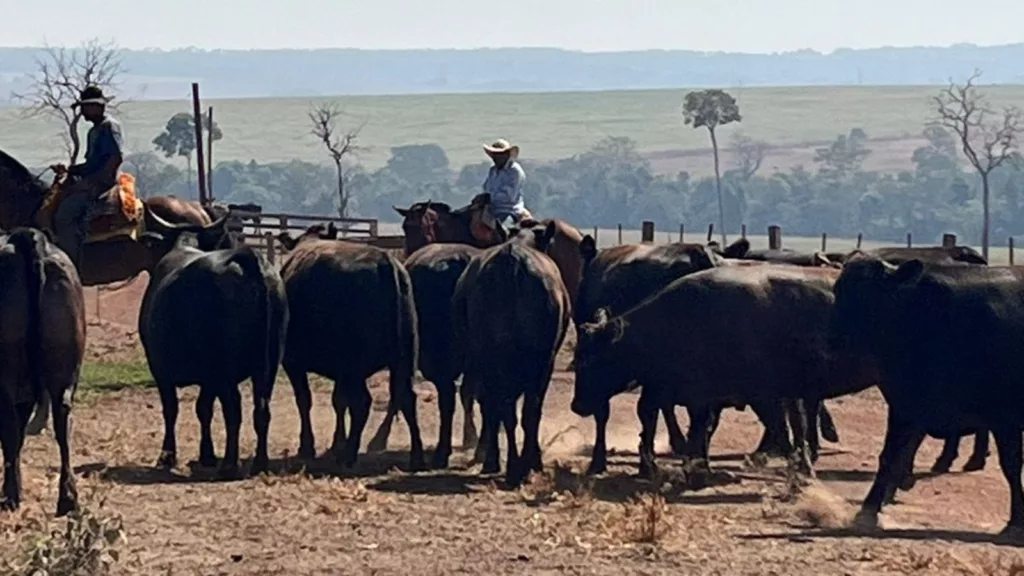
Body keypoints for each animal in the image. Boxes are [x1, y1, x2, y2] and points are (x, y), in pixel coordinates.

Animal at [0, 226, 84, 512]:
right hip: (64, 370)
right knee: (62, 422)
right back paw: (68, 497)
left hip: (7, 374)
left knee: (10, 429)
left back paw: (11, 496)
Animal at [140, 230, 288, 473]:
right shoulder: (208, 378)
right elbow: (204, 409)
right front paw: (206, 455)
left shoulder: (160, 370)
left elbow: (172, 410)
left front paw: (167, 457)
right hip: (269, 365)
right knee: (261, 409)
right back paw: (259, 463)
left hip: (225, 368)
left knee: (233, 410)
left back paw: (229, 464)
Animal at [454, 222, 573, 481]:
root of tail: (513, 261)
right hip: (535, 362)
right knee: (523, 411)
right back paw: (521, 465)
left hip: (492, 359)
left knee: (501, 408)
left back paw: (504, 463)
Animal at [831, 253, 1024, 532]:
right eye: (838, 291)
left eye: (869, 296)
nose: (834, 337)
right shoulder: (906, 406)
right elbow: (891, 456)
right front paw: (869, 509)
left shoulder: (1003, 415)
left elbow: (1011, 465)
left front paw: (1016, 520)